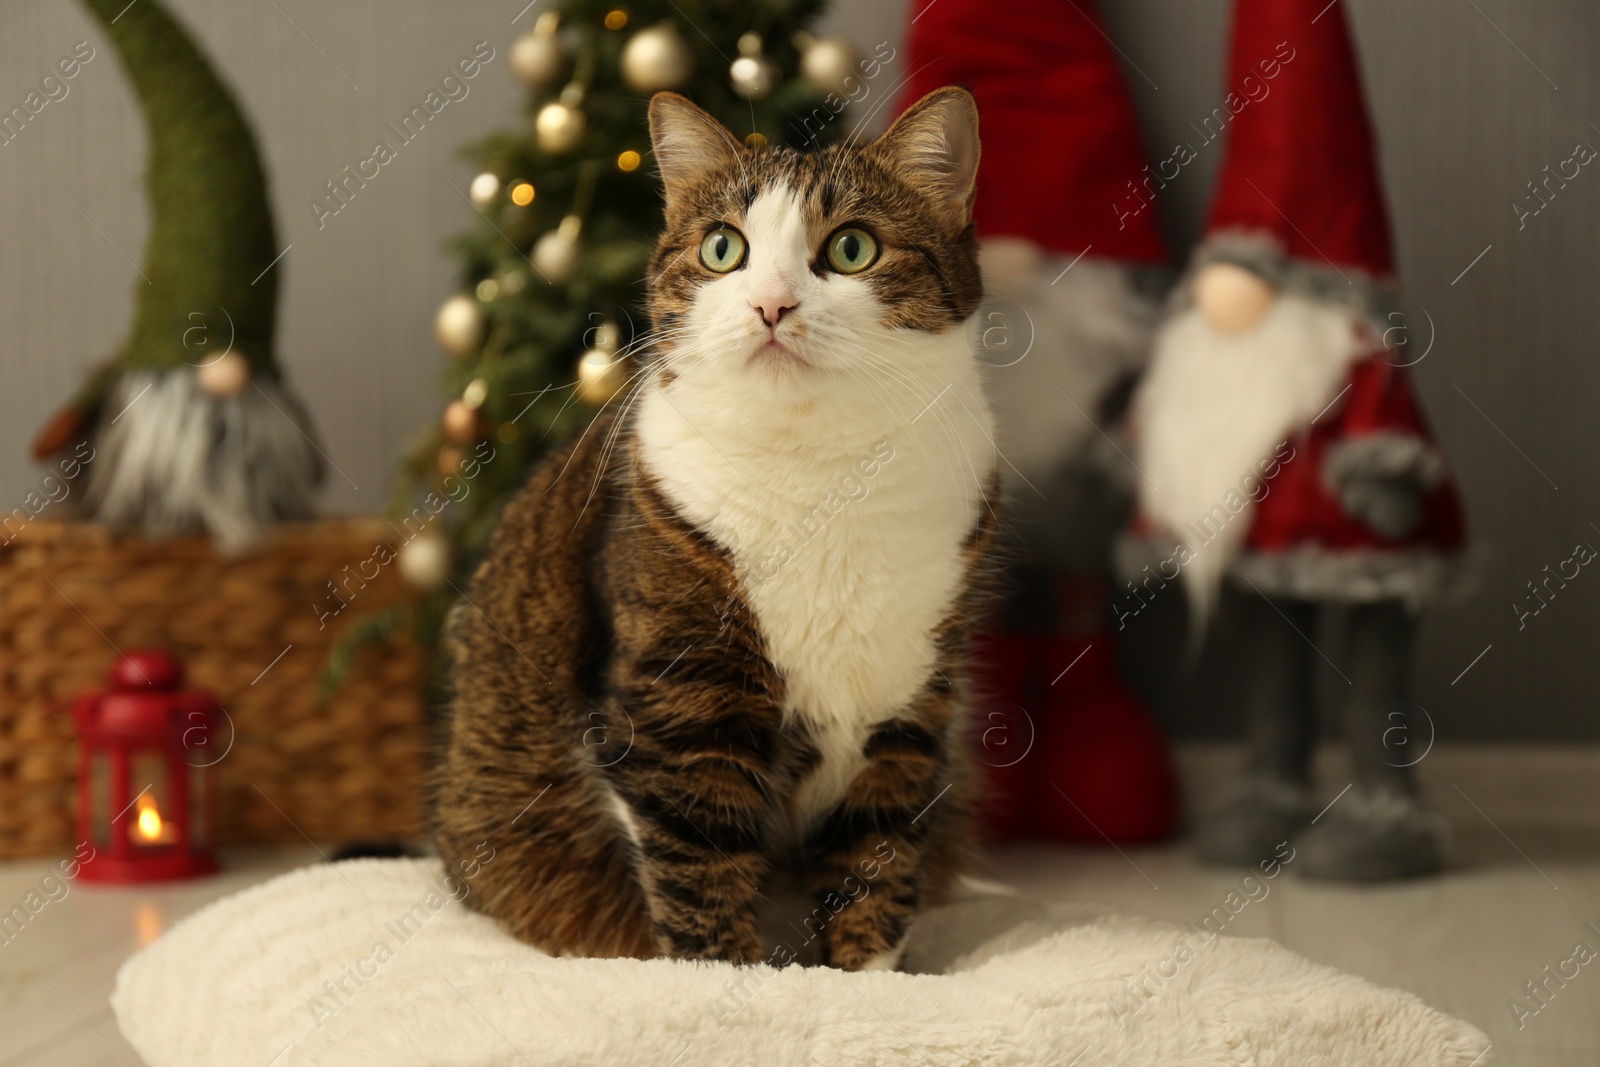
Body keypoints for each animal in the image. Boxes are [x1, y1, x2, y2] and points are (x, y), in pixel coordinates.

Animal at [432, 87, 992, 972]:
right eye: (723, 247)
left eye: (853, 248)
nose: (772, 305)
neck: (818, 468)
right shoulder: (677, 704)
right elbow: (699, 870)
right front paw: (733, 984)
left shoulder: (911, 700)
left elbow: (879, 858)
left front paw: (870, 982)